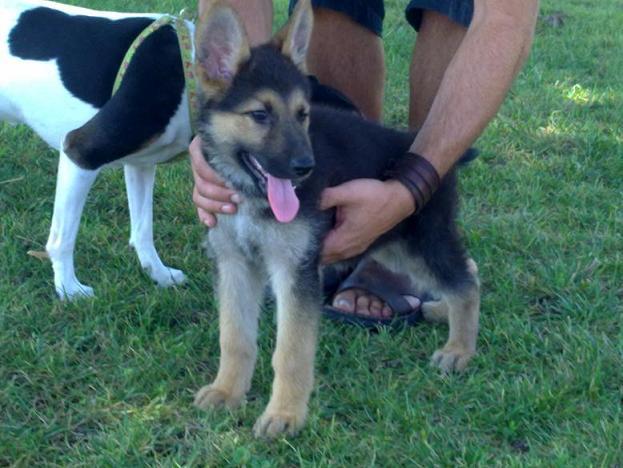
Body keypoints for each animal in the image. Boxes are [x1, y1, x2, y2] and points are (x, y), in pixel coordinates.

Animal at [0, 0, 195, 300]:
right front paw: (69, 290)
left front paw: (159, 275)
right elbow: (62, 239)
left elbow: (142, 230)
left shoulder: (140, 164)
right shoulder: (80, 151)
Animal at [193, 0, 480, 438]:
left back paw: (459, 349)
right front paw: (227, 392)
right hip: (394, 246)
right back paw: (440, 312)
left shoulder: (295, 271)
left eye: (302, 114)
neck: (248, 194)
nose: (305, 167)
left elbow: (291, 350)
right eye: (260, 115)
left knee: (467, 283)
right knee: (464, 274)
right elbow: (235, 336)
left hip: (420, 242)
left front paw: (285, 415)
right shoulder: (234, 264)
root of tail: (416, 145)